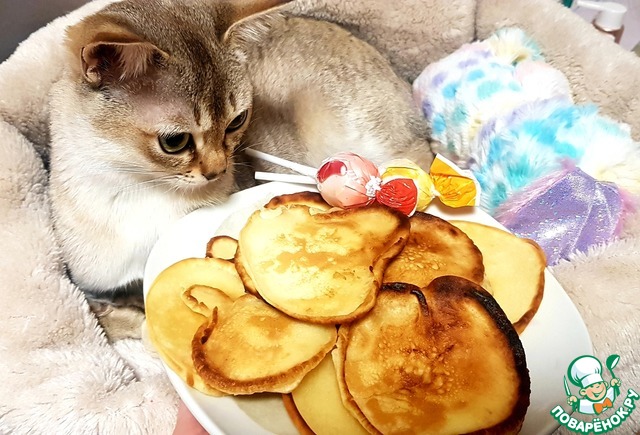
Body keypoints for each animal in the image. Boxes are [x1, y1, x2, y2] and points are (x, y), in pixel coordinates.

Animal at [48, 0, 433, 340]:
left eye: (237, 121)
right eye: (174, 141)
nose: (218, 170)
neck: (141, 190)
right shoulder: (93, 281)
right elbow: (109, 311)